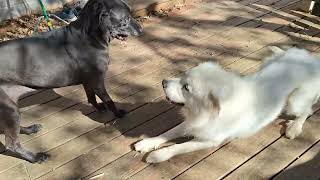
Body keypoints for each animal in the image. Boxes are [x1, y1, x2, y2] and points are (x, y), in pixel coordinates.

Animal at [0, 0, 142, 163]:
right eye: (125, 19)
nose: (141, 30)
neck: (89, 36)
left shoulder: (89, 81)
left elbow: (91, 97)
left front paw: (99, 108)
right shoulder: (98, 81)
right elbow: (109, 100)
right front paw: (118, 113)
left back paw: (29, 129)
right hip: (9, 109)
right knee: (11, 144)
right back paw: (35, 157)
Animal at [134, 46, 320, 163]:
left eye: (186, 87)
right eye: (182, 77)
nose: (163, 82)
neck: (204, 113)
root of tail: (311, 59)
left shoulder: (209, 140)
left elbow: (180, 147)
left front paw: (158, 155)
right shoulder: (192, 124)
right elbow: (168, 133)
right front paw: (147, 143)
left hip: (294, 102)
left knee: (307, 111)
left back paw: (294, 128)